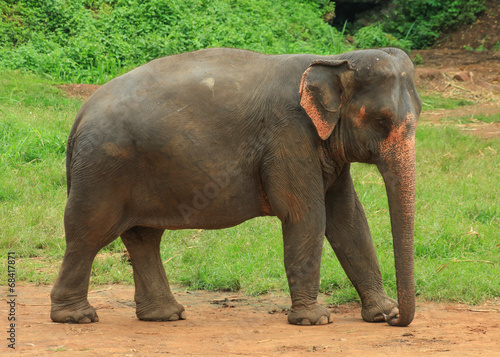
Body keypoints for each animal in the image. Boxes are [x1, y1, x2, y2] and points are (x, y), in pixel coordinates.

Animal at [50, 46, 420, 326]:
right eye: (382, 121)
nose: (396, 318)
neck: (333, 58)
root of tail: (78, 117)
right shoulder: (289, 134)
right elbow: (305, 214)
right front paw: (315, 320)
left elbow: (349, 218)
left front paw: (380, 312)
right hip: (102, 167)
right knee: (89, 233)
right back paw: (77, 317)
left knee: (143, 236)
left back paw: (165, 315)